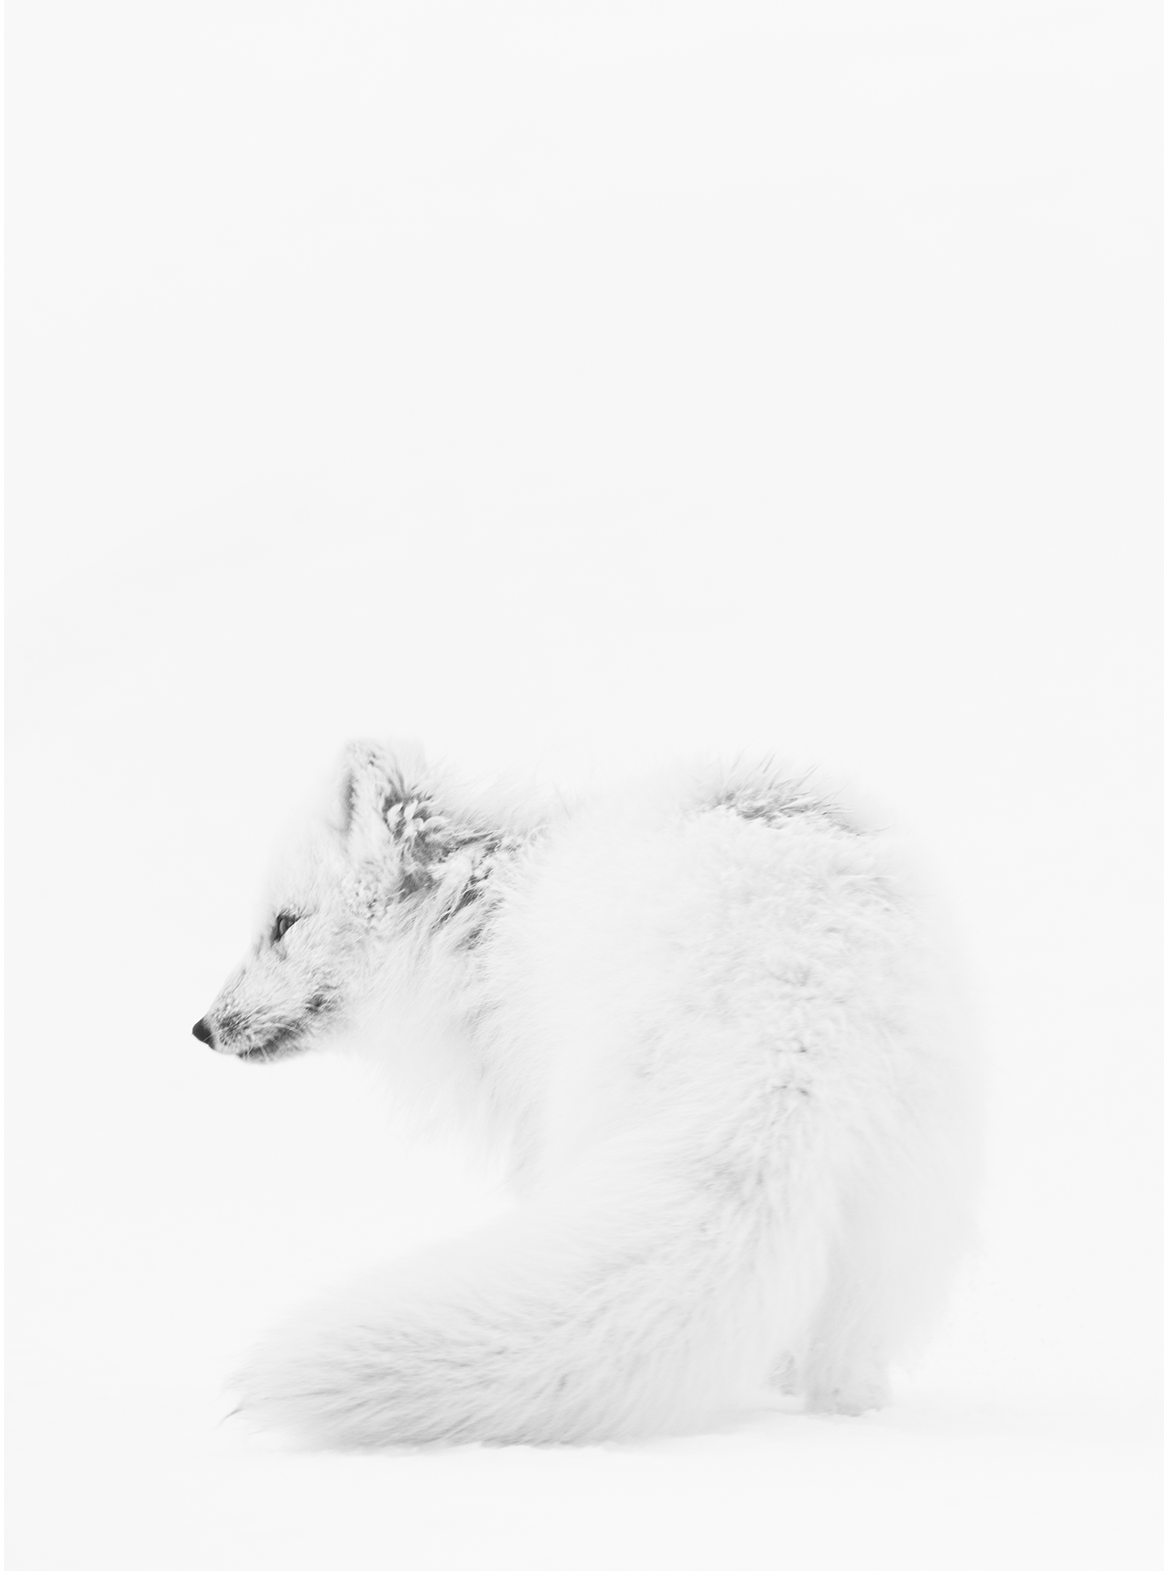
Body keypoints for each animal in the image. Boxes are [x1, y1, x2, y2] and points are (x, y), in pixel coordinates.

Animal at [193, 741, 979, 1446]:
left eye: (283, 925)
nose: (200, 1028)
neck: (481, 913)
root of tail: (803, 997)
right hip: (900, 1215)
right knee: (844, 1364)